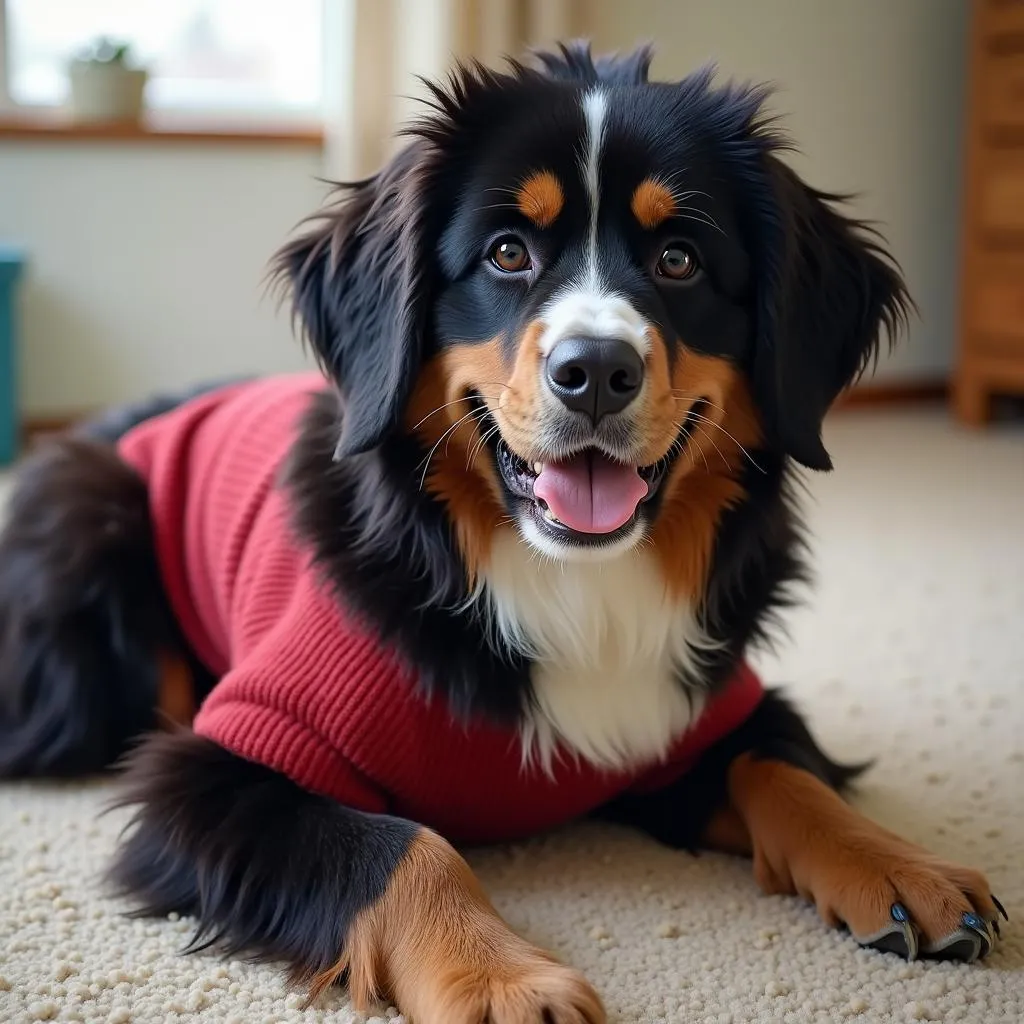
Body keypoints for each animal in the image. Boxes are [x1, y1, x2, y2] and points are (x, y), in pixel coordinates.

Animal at [0, 41, 1003, 1024]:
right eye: (508, 252)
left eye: (680, 259)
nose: (594, 369)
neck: (573, 587)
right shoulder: (221, 765)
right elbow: (400, 845)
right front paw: (498, 979)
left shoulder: (701, 711)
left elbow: (788, 773)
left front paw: (902, 863)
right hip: (97, 542)